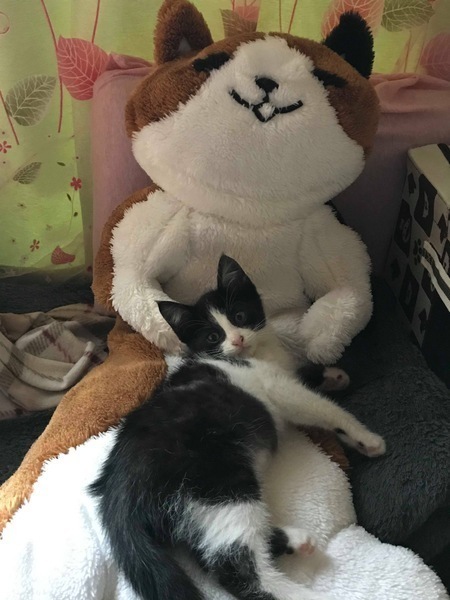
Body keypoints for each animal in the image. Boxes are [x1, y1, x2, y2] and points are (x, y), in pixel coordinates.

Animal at [91, 255, 385, 600]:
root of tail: (117, 487)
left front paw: (332, 375)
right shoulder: (277, 389)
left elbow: (300, 375)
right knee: (236, 566)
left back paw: (295, 540)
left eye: (240, 316)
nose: (238, 339)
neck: (259, 355)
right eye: (213, 337)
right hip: (217, 484)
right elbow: (318, 406)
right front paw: (365, 437)